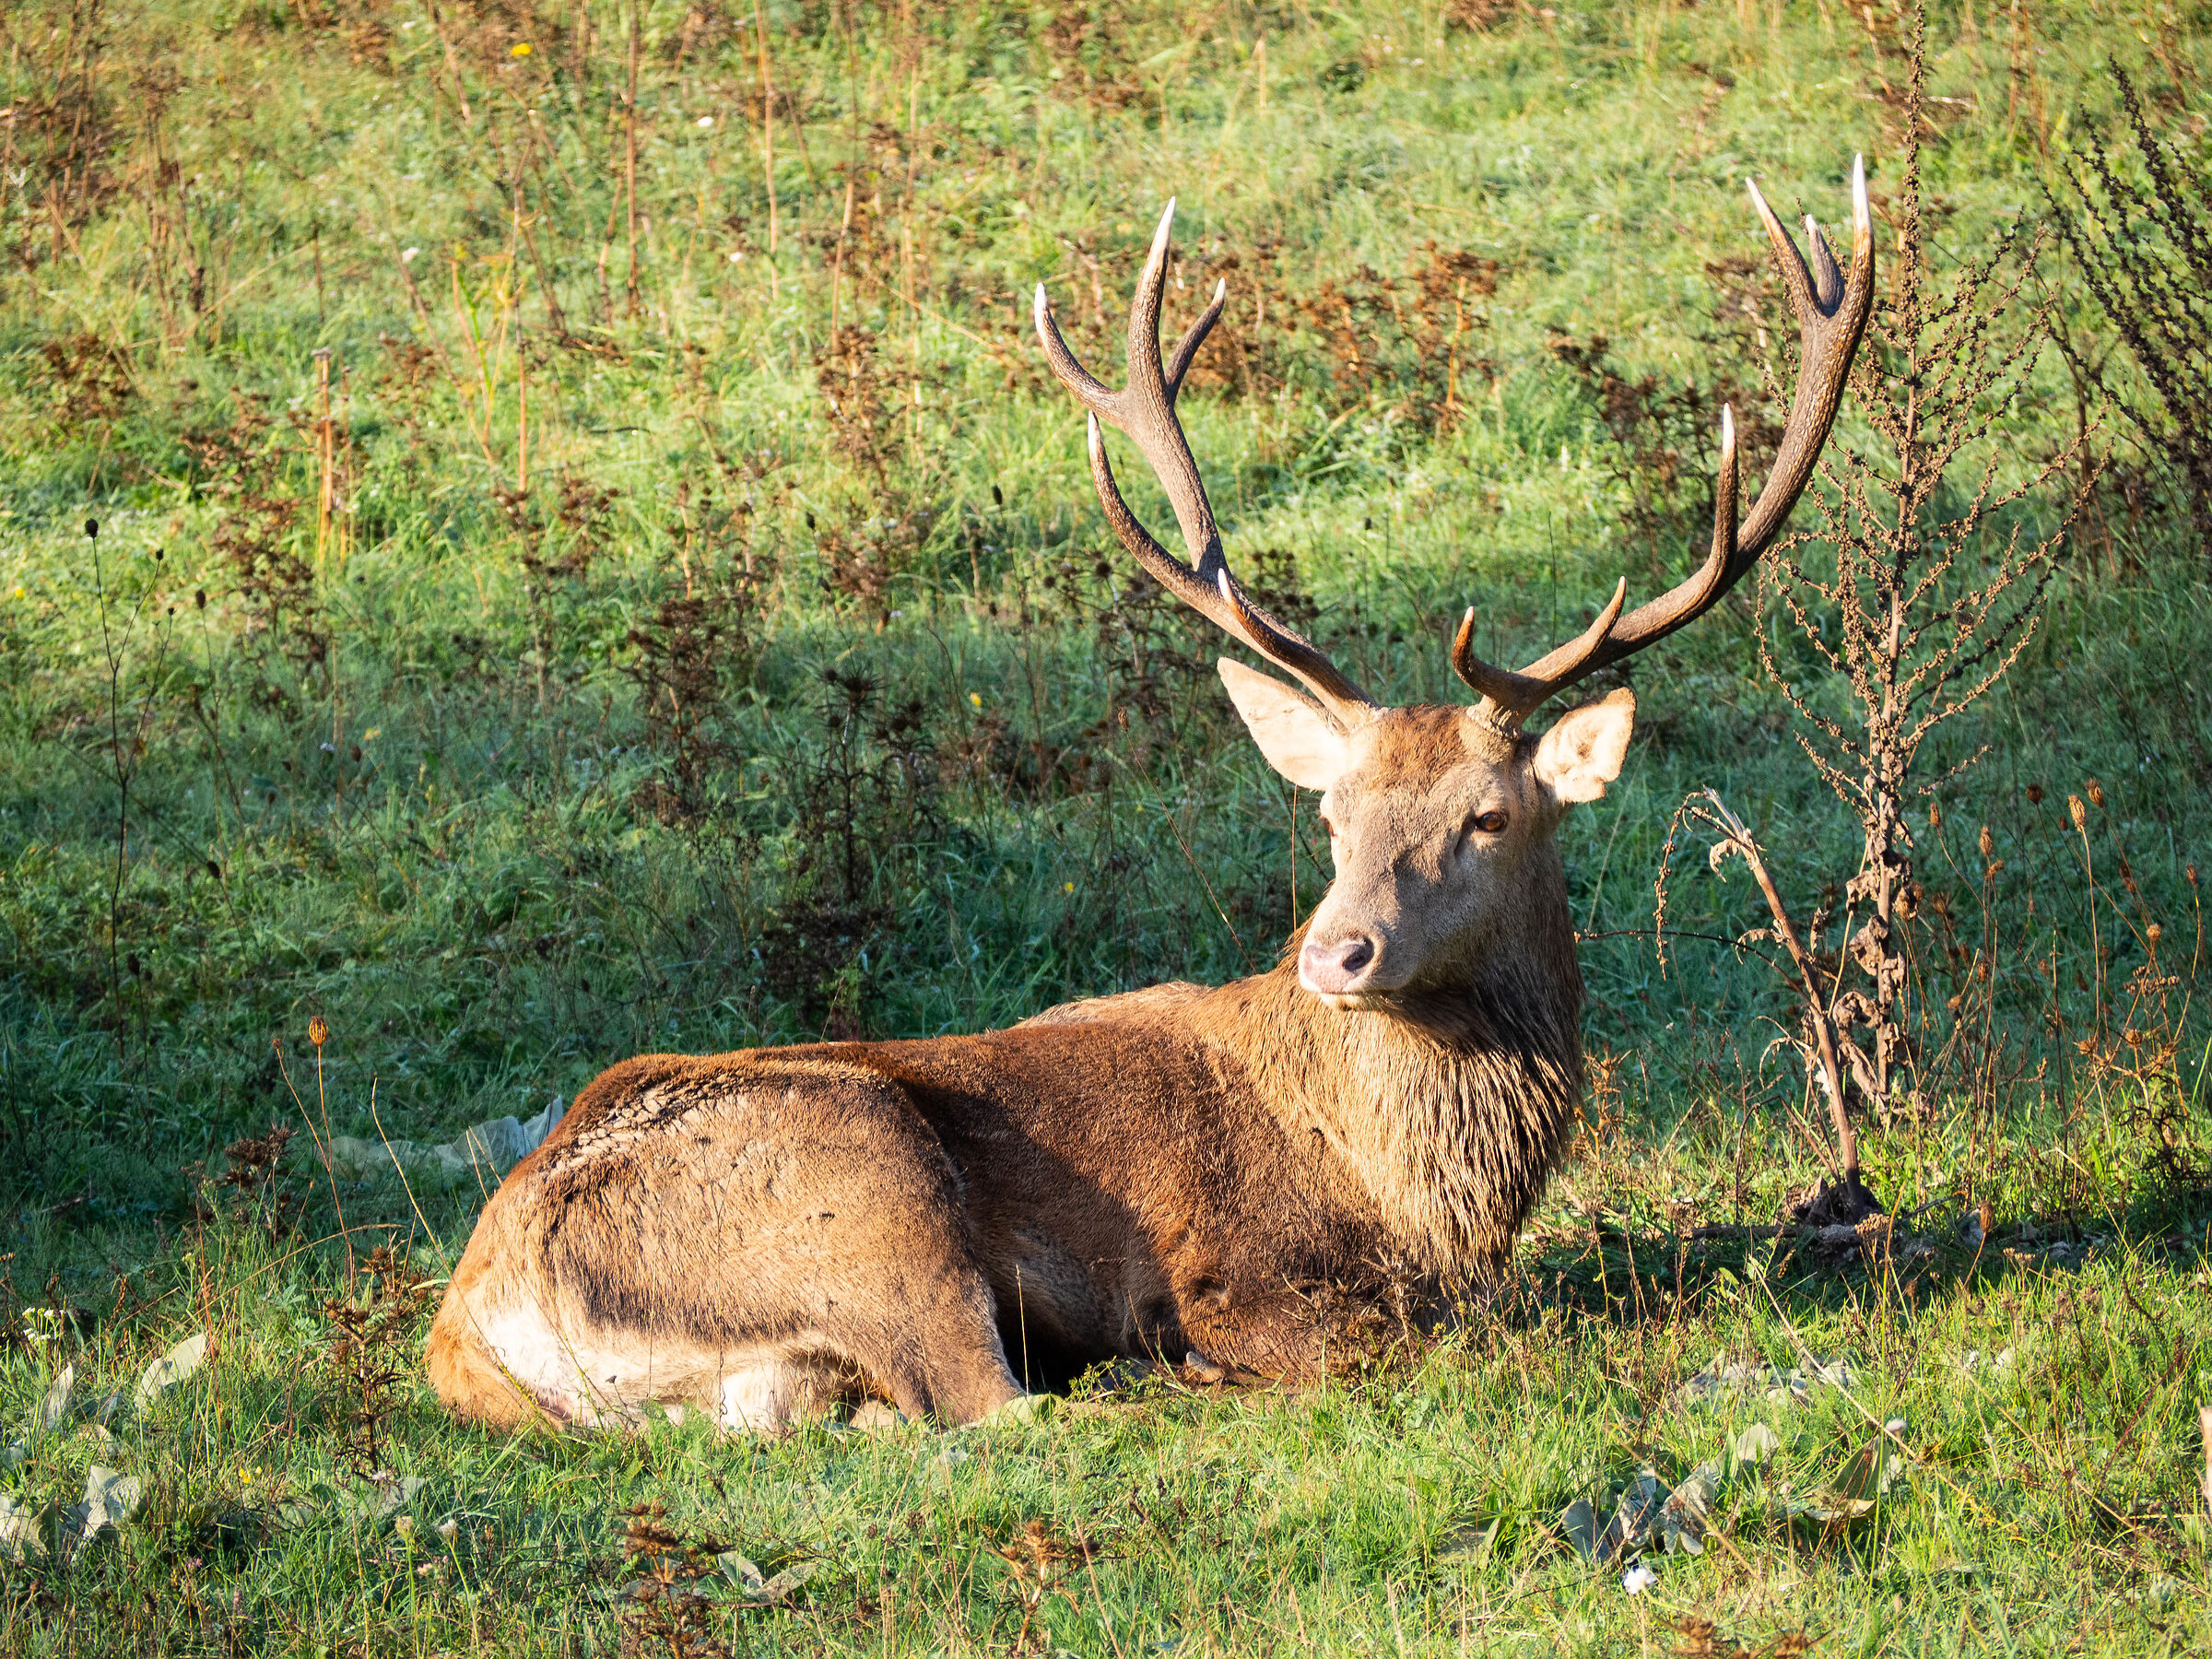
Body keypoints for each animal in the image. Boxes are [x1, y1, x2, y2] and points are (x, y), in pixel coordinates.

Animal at [426, 160, 1872, 1434]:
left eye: (1488, 816)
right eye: (1333, 817)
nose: (1337, 954)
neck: (1421, 1198)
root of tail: (467, 1325)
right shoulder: (1237, 1272)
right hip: (864, 1179)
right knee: (985, 1406)